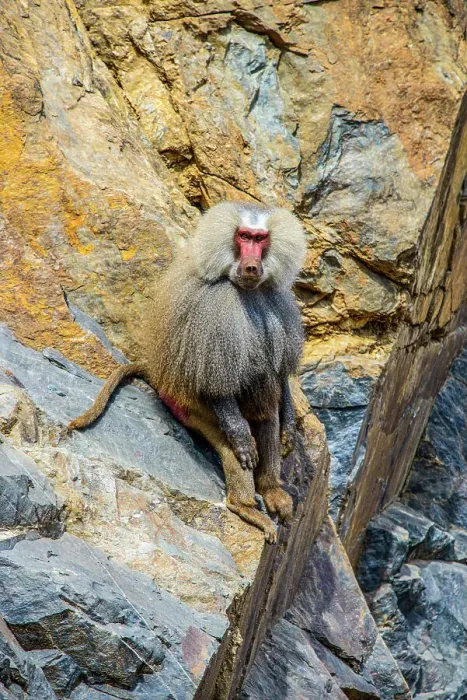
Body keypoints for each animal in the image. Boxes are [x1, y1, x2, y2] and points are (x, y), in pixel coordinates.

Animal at [68, 202, 307, 543]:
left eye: (260, 239)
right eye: (243, 236)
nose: (251, 267)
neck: (244, 289)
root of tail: (160, 379)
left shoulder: (277, 301)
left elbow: (279, 374)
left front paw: (288, 428)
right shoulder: (213, 309)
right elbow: (216, 381)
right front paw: (242, 439)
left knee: (267, 405)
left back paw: (271, 490)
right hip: (192, 409)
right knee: (237, 422)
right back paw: (244, 505)